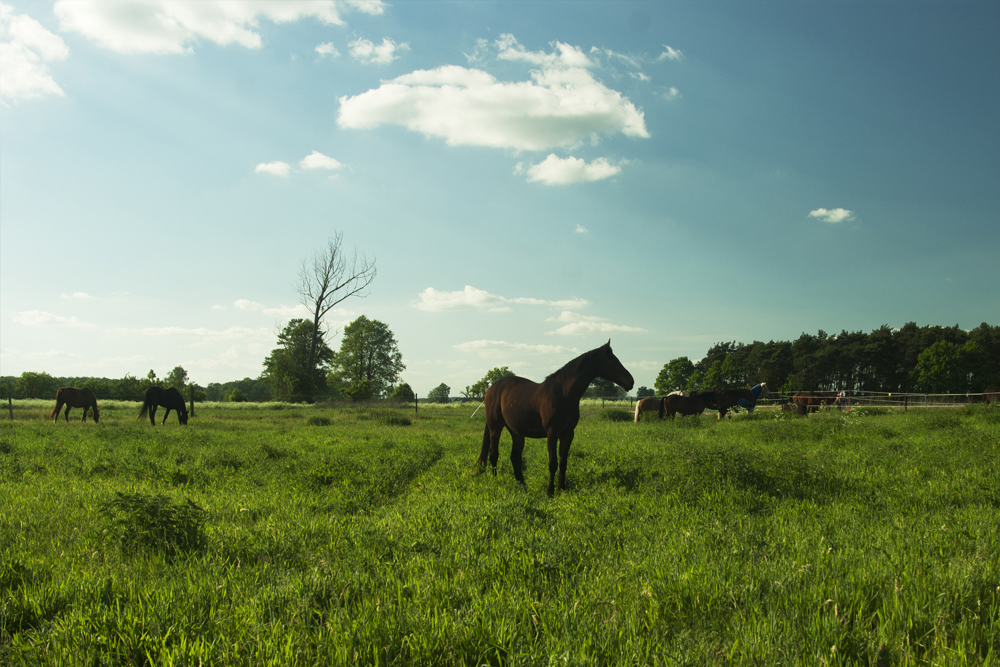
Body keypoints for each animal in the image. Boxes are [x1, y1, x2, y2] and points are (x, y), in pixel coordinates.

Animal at [474, 342, 632, 498]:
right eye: (614, 361)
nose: (631, 381)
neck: (563, 393)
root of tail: (491, 389)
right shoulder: (552, 433)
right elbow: (553, 463)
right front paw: (550, 491)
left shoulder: (568, 433)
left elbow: (563, 462)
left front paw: (562, 488)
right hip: (495, 428)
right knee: (494, 454)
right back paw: (495, 482)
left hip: (516, 432)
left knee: (515, 457)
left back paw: (523, 485)